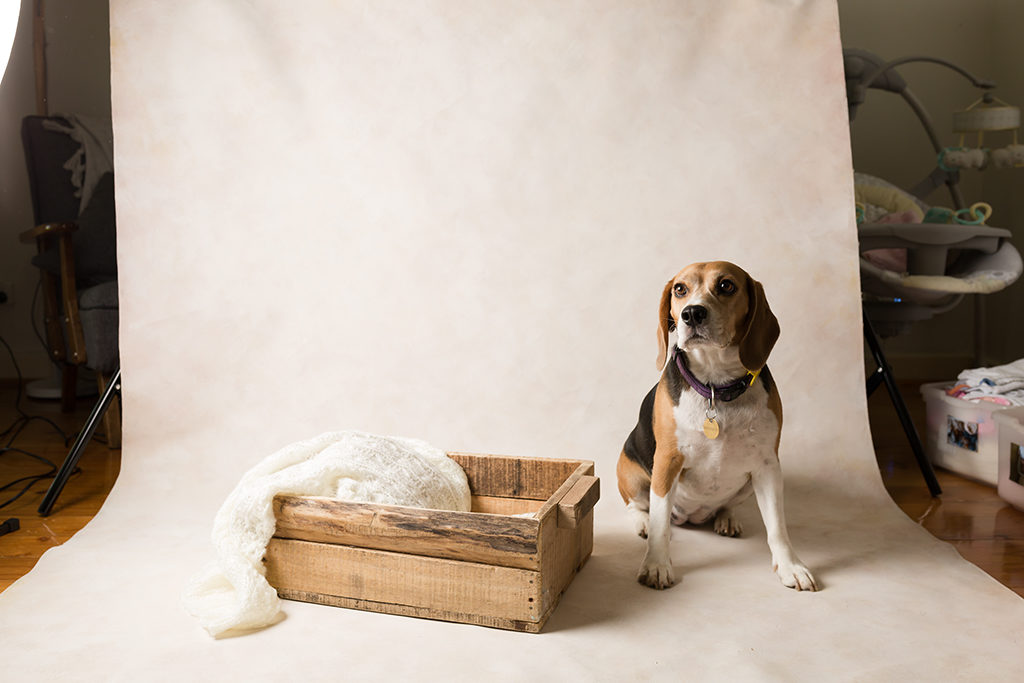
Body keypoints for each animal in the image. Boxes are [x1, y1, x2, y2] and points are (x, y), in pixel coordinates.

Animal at [614, 262, 815, 593]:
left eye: (726, 286)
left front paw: (791, 567)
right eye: (680, 289)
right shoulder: (667, 461)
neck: (714, 385)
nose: (692, 313)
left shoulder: (768, 466)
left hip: (748, 484)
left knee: (727, 505)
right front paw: (656, 565)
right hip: (630, 469)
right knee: (638, 506)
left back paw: (727, 518)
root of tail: (692, 516)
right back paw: (642, 522)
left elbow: (777, 526)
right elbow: (659, 524)